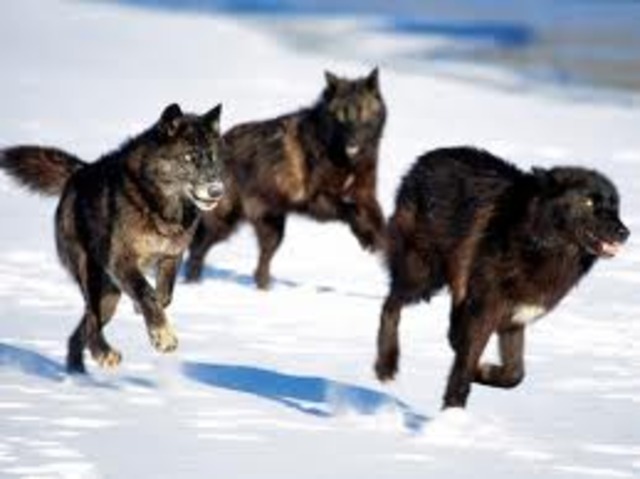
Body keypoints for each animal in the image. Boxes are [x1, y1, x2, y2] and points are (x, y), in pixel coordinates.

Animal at [0, 103, 225, 373]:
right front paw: (163, 336)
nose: (217, 190)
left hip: (110, 295)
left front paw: (149, 317)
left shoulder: (172, 256)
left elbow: (163, 296)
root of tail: (78, 172)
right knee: (91, 319)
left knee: (80, 331)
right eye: (189, 157)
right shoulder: (120, 260)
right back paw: (103, 353)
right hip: (92, 277)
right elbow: (147, 292)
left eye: (212, 157)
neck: (158, 207)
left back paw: (78, 373)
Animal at [185, 68, 387, 289]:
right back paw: (192, 284)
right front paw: (366, 237)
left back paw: (263, 291)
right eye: (340, 118)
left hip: (272, 228)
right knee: (196, 250)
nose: (352, 144)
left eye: (362, 115)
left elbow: (378, 222)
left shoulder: (366, 196)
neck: (343, 159)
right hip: (224, 223)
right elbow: (351, 210)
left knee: (260, 266)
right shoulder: (316, 200)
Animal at [374, 147, 630, 408]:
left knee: (448, 332)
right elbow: (464, 368)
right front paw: (453, 411)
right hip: (423, 276)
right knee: (390, 305)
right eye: (588, 201)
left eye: (615, 205)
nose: (625, 232)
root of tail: (423, 160)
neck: (535, 241)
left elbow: (514, 375)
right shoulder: (483, 312)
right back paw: (386, 365)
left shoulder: (513, 319)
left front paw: (484, 371)